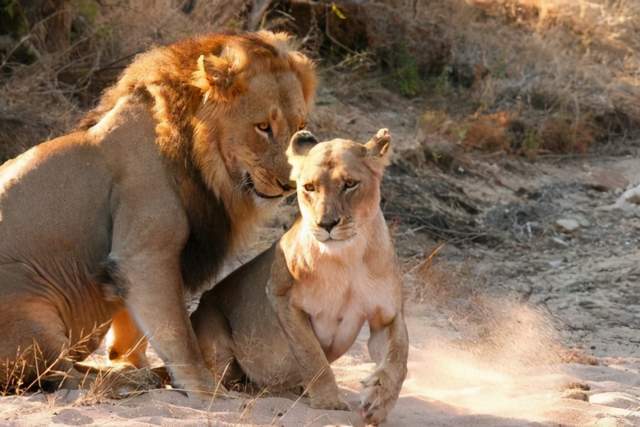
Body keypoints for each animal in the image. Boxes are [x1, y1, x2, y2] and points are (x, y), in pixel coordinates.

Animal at [0, 31, 318, 396]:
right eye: (263, 126)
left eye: (300, 128)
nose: (289, 184)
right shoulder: (144, 254)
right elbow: (179, 333)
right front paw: (203, 387)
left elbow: (135, 330)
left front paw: (127, 359)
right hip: (35, 312)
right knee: (62, 376)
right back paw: (133, 380)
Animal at [191, 129, 410, 422]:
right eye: (309, 188)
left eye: (350, 184)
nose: (326, 224)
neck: (347, 259)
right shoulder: (281, 297)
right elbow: (312, 356)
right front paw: (329, 402)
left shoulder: (386, 316)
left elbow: (398, 358)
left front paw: (379, 400)